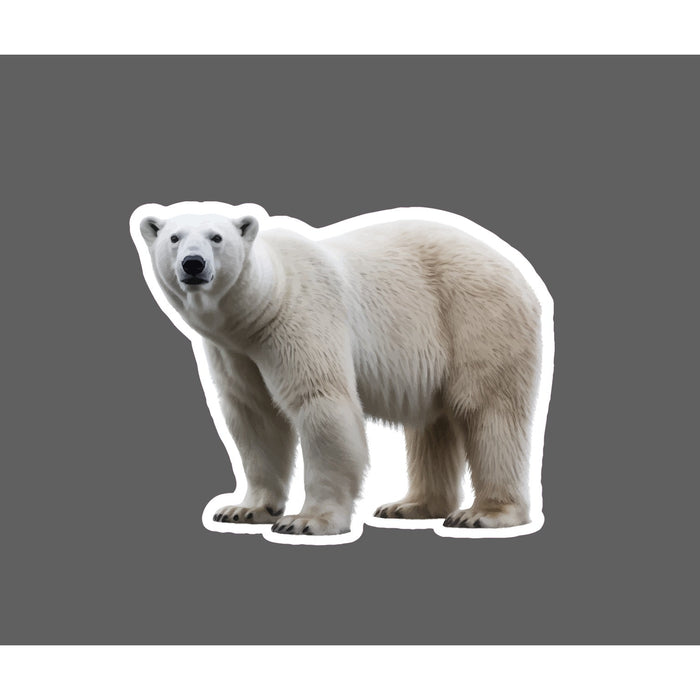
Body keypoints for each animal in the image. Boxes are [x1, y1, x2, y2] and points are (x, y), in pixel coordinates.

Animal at [132, 202, 550, 536]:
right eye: (174, 237)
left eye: (216, 237)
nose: (193, 264)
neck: (259, 310)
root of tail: (522, 274)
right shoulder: (234, 353)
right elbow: (255, 419)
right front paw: (243, 509)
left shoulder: (298, 318)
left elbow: (320, 403)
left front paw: (306, 521)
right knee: (434, 424)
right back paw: (409, 505)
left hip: (476, 316)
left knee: (487, 409)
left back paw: (483, 513)